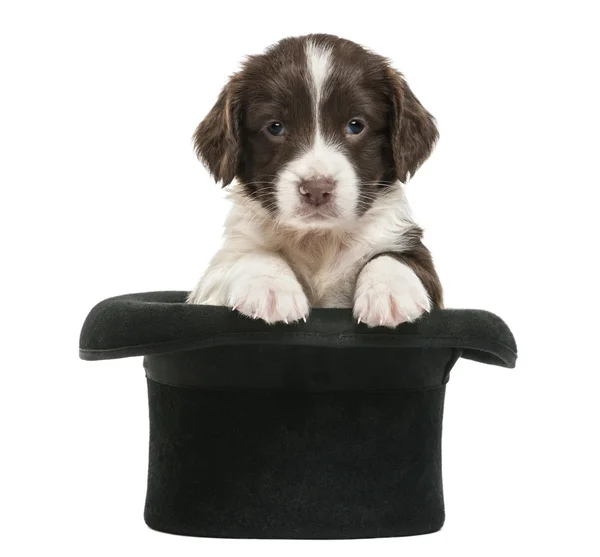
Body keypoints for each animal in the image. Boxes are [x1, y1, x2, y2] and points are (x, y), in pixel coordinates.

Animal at [185, 33, 442, 326]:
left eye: (356, 125)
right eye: (275, 127)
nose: (317, 189)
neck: (318, 239)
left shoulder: (409, 248)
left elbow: (394, 256)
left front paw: (391, 290)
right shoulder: (216, 274)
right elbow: (252, 253)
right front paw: (270, 287)